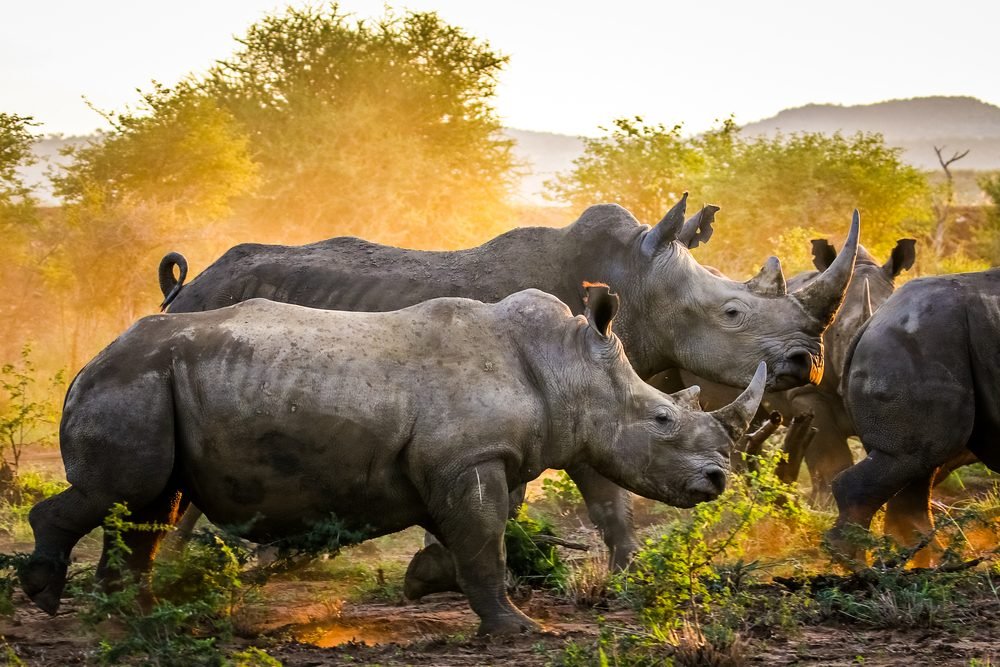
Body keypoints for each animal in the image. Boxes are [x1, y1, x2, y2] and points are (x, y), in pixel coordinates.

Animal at [22, 285, 767, 635]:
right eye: (662, 420)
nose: (716, 480)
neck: (566, 365)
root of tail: (90, 363)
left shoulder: (465, 459)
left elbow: (475, 537)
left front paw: (424, 581)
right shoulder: (468, 457)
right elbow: (485, 542)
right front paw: (518, 630)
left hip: (155, 383)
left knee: (149, 502)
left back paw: (132, 616)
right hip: (134, 382)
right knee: (123, 490)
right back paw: (45, 597)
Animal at [154, 196, 860, 577]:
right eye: (732, 313)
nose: (807, 362)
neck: (634, 280)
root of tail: (184, 287)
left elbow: (605, 496)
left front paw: (624, 572)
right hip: (212, 318)